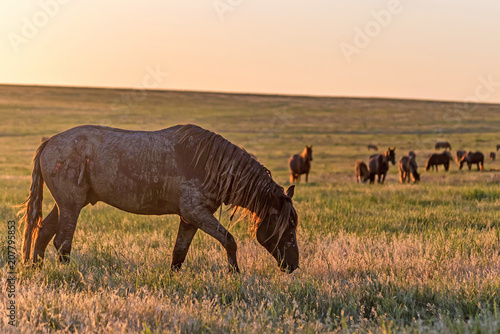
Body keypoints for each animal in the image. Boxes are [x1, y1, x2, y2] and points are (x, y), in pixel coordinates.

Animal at [20, 124, 300, 272]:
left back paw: (36, 270)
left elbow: (179, 253)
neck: (210, 163)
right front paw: (235, 275)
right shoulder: (197, 213)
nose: (294, 265)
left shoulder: (190, 219)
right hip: (71, 205)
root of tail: (48, 142)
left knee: (42, 233)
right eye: (287, 227)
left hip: (65, 205)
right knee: (62, 243)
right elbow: (230, 241)